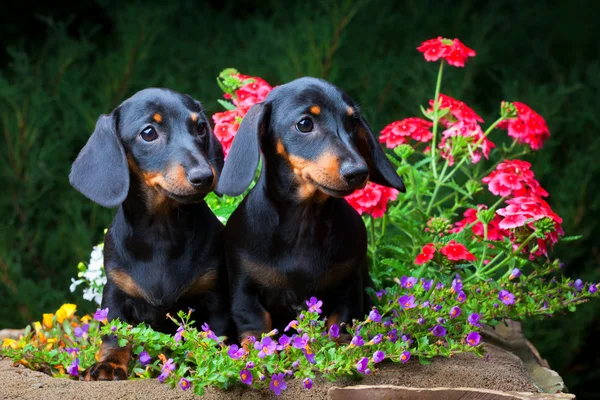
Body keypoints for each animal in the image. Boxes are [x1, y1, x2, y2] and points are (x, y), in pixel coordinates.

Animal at [68, 88, 232, 382]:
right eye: (148, 133)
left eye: (201, 127)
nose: (204, 175)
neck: (161, 232)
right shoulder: (116, 294)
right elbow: (114, 337)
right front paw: (108, 364)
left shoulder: (215, 297)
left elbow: (213, 336)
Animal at [213, 76, 406, 342]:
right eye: (305, 124)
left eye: (353, 122)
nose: (358, 172)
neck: (304, 223)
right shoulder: (245, 292)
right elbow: (257, 328)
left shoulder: (349, 287)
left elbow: (340, 326)